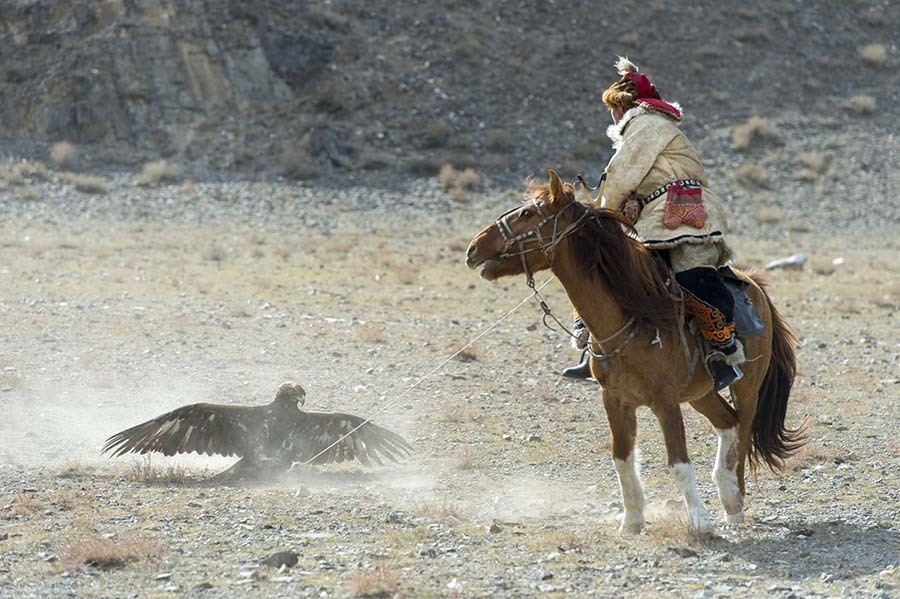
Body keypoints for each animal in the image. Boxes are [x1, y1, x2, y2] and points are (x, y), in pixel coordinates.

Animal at [464, 169, 800, 536]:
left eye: (527, 214)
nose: (473, 248)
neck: (634, 317)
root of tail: (752, 283)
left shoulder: (665, 402)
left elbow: (678, 462)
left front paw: (698, 521)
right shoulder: (615, 399)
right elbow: (622, 459)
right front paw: (632, 520)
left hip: (747, 385)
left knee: (743, 431)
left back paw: (735, 501)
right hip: (701, 392)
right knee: (729, 423)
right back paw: (727, 495)